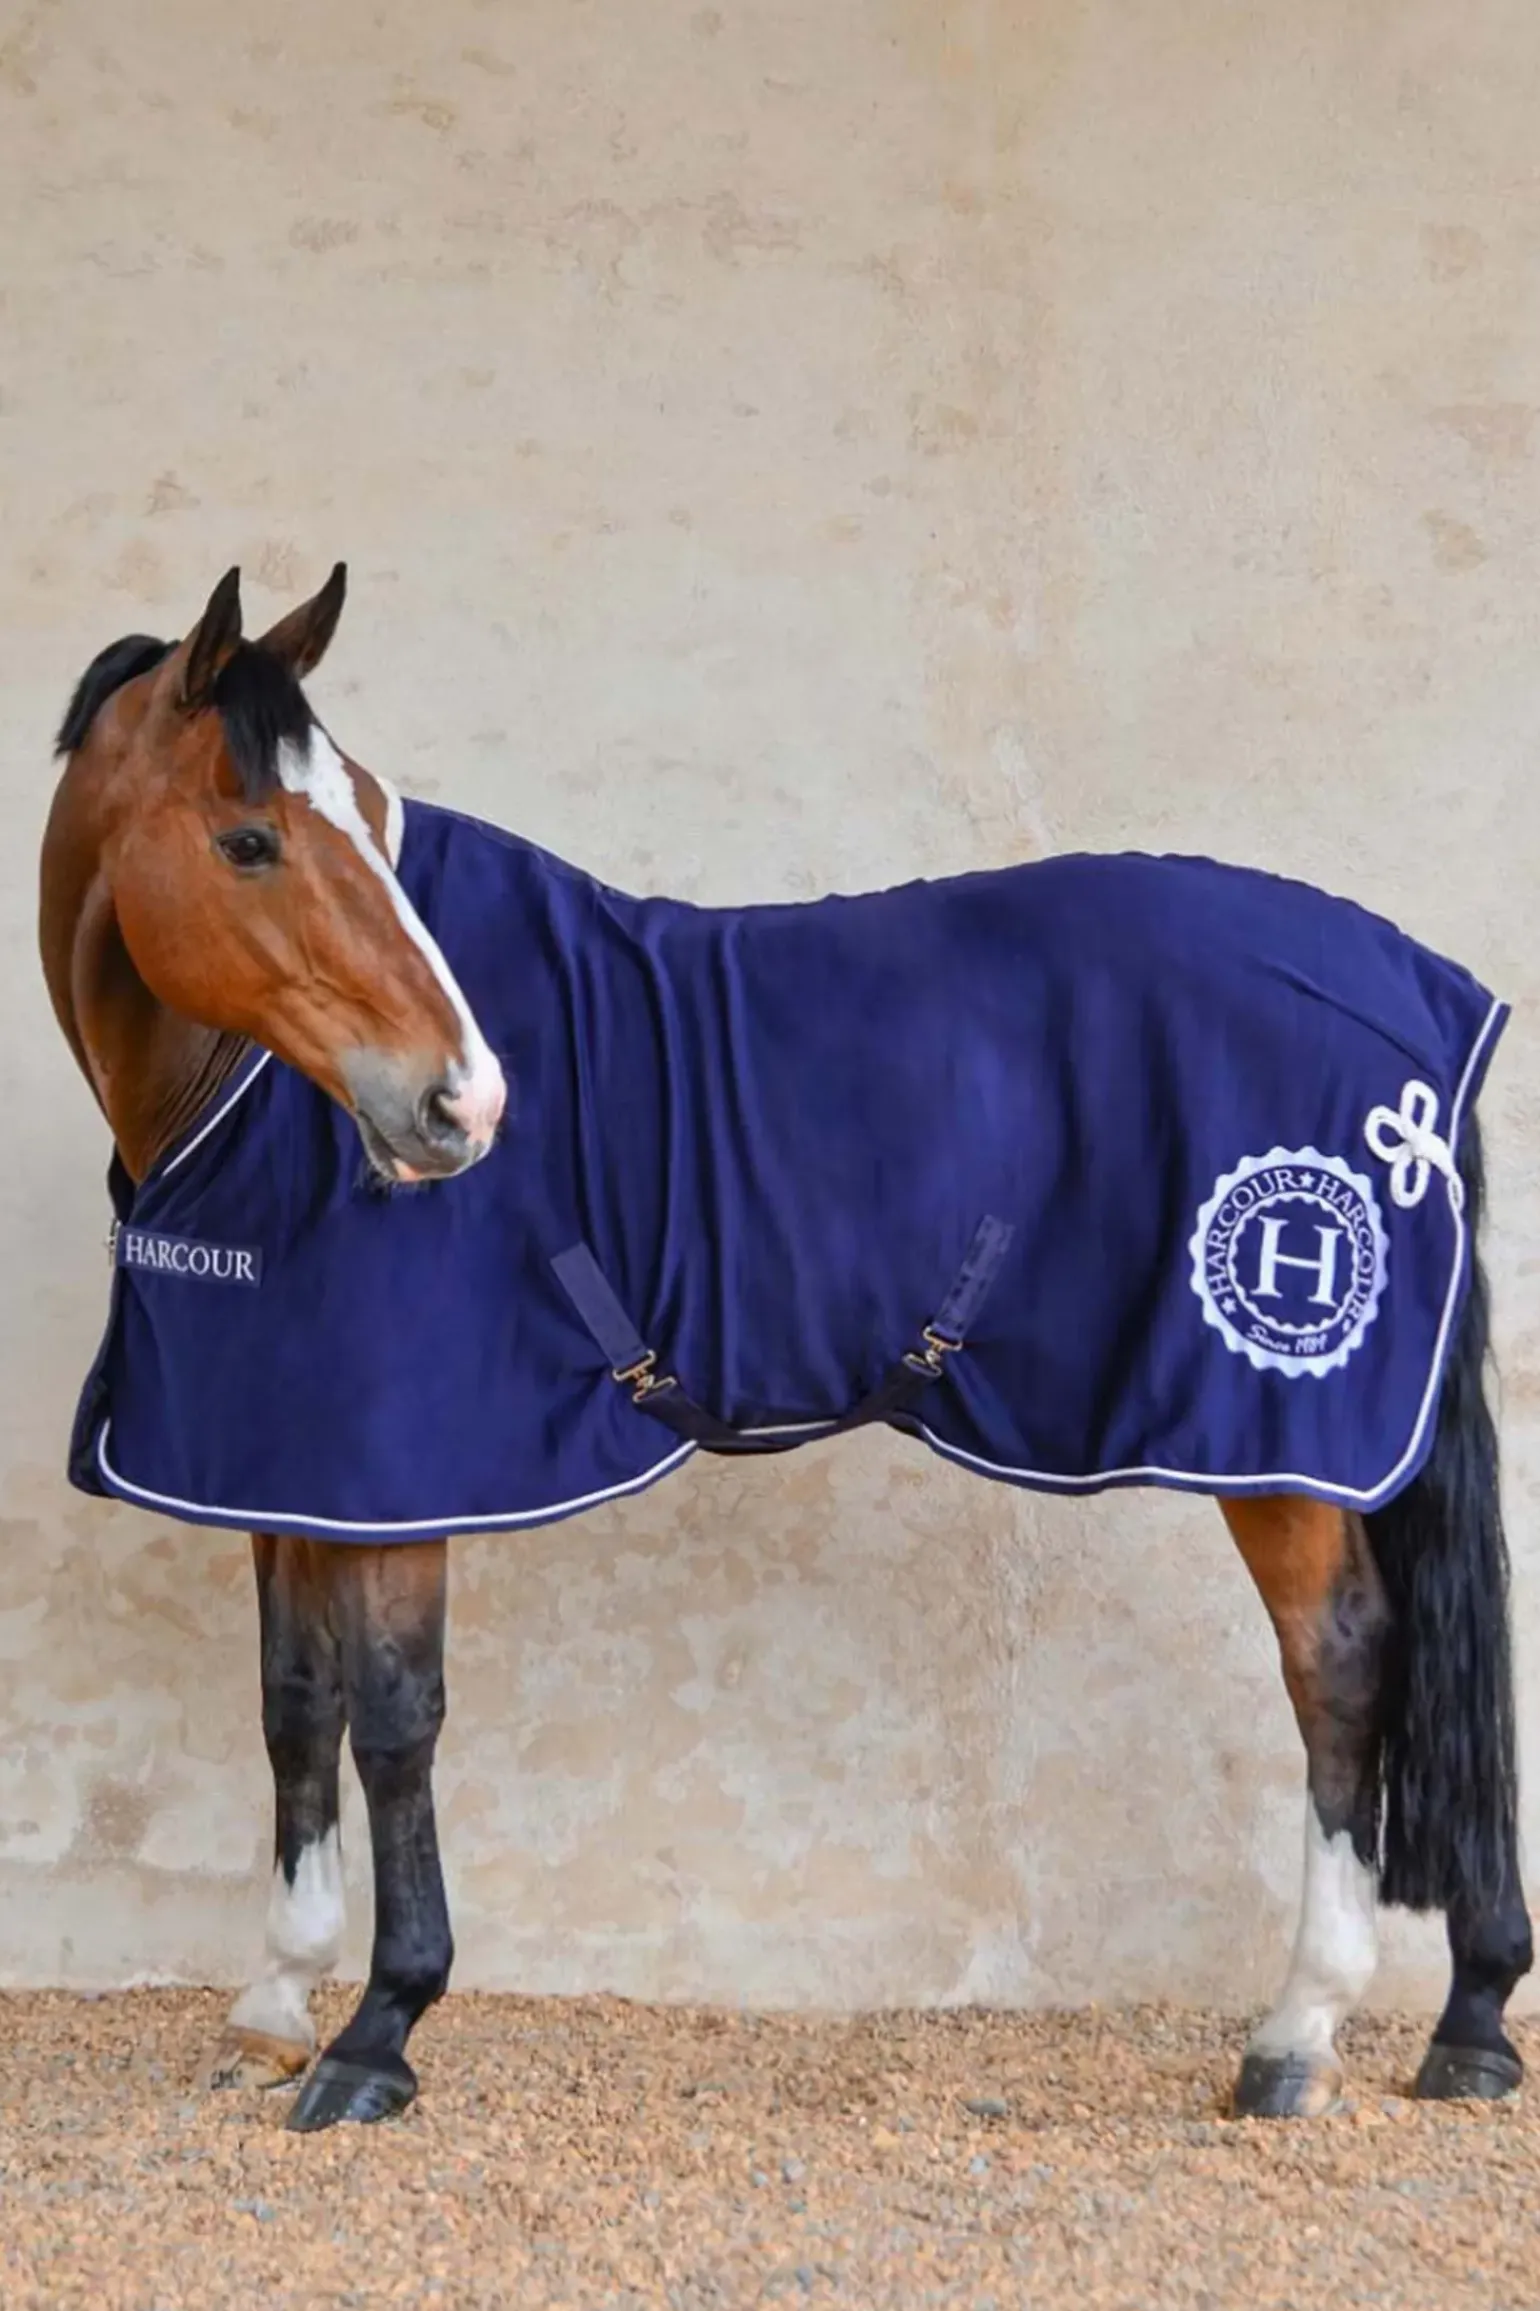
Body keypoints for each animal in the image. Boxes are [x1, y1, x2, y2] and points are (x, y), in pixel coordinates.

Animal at [38, 564, 1532, 2135]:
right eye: (251, 838)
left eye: (375, 819)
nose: (467, 1099)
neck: (237, 1115)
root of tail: (1421, 1012)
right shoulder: (283, 1467)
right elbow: (293, 1707)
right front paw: (272, 2001)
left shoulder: (396, 1480)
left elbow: (392, 1719)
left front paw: (380, 2028)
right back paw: (1471, 2017)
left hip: (1278, 1441)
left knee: (1341, 1665)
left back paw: (1299, 2030)